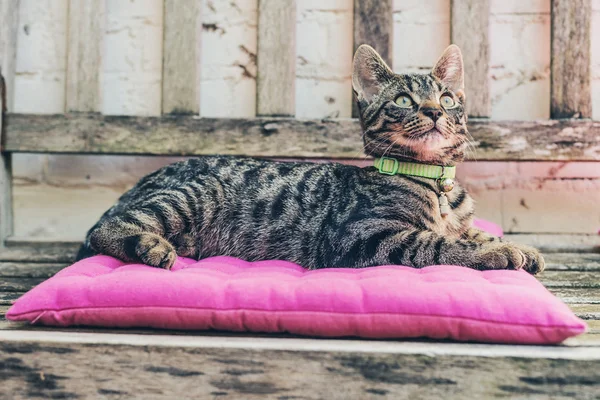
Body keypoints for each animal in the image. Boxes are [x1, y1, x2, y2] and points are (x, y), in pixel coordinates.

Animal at [75, 44, 544, 276]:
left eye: (446, 98)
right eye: (403, 100)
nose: (433, 112)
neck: (433, 180)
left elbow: (473, 232)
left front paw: (518, 246)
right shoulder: (361, 235)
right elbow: (437, 242)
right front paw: (497, 254)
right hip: (192, 195)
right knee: (104, 229)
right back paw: (149, 244)